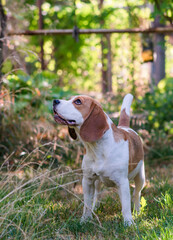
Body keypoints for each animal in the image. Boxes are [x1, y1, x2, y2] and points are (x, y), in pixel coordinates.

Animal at [52, 94, 145, 225]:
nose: (54, 101)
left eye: (78, 101)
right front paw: (85, 220)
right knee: (97, 194)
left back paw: (137, 212)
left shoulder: (123, 182)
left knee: (136, 194)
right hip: (97, 182)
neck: (98, 149)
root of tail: (125, 127)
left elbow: (126, 205)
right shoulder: (87, 180)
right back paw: (96, 207)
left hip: (140, 178)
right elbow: (87, 204)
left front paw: (128, 223)